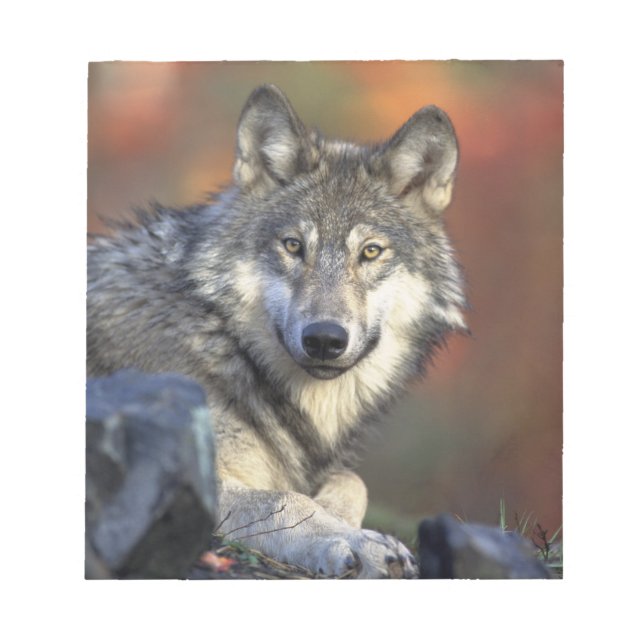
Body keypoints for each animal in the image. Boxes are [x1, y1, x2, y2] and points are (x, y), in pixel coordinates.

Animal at [87, 84, 466, 579]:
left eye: (370, 252)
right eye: (293, 246)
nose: (324, 339)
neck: (223, 341)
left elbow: (351, 480)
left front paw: (339, 516)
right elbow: (283, 499)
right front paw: (355, 541)